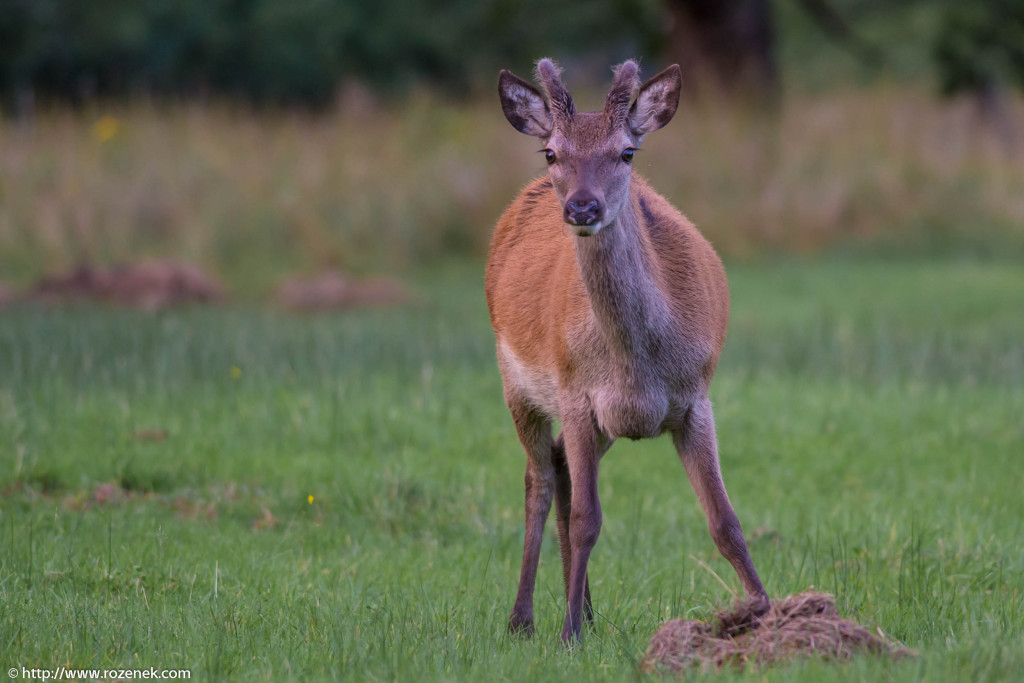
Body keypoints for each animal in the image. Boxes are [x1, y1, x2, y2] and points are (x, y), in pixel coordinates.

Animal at [487, 58, 770, 647]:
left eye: (627, 152)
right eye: (552, 152)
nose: (582, 206)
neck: (639, 368)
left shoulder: (696, 398)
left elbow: (725, 520)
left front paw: (765, 610)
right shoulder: (575, 394)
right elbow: (588, 519)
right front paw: (567, 634)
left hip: (600, 425)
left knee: (560, 469)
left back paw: (589, 613)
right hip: (516, 382)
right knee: (539, 481)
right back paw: (525, 619)